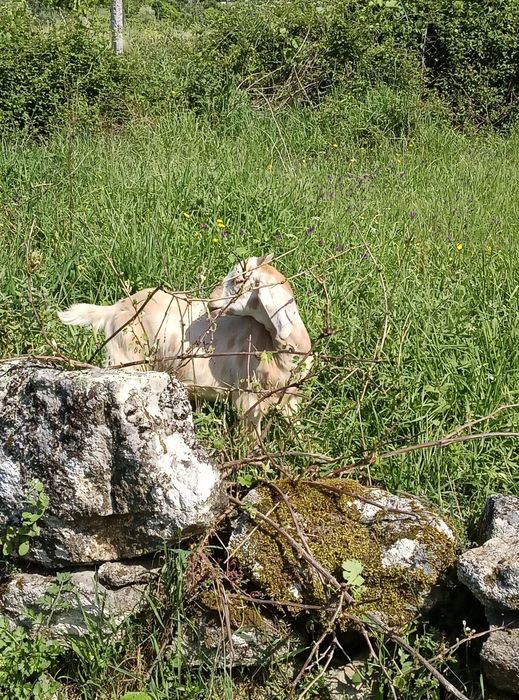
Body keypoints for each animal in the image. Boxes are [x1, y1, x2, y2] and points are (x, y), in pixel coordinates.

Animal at [58, 255, 312, 433]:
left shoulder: (291, 401)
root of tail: (114, 309)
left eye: (241, 280)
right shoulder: (247, 399)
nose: (211, 302)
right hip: (127, 360)